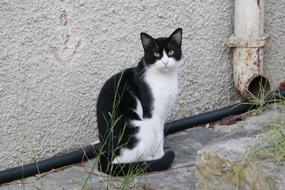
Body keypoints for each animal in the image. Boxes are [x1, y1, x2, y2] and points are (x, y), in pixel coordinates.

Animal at [96, 27, 182, 175]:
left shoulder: (162, 115)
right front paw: (160, 155)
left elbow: (161, 133)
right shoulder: (152, 115)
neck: (164, 78)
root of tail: (105, 153)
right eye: (156, 54)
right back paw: (150, 161)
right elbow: (158, 137)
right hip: (141, 129)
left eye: (171, 52)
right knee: (126, 161)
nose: (165, 62)